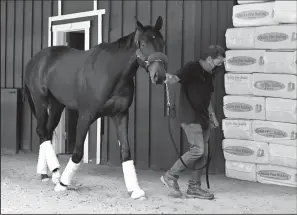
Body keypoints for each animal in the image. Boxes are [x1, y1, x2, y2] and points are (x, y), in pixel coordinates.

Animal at [23, 15, 166, 200]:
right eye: (142, 43)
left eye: (162, 43)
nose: (159, 76)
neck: (111, 72)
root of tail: (34, 60)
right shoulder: (86, 116)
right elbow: (77, 152)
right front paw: (63, 184)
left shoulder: (121, 115)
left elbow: (126, 152)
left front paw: (135, 190)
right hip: (40, 101)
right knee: (41, 131)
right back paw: (54, 173)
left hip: (56, 106)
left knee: (46, 133)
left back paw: (48, 174)